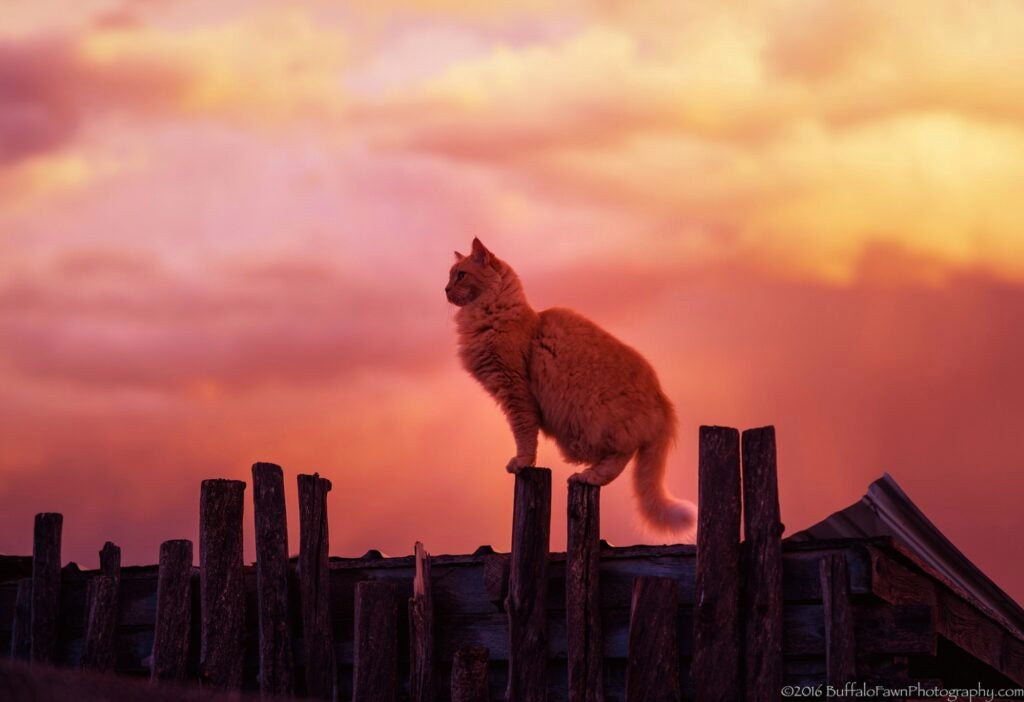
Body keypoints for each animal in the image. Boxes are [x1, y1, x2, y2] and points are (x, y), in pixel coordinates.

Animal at [442, 239, 696, 536]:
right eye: (450, 276)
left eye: (461, 275)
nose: (445, 289)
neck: (494, 313)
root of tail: (662, 400)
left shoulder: (516, 390)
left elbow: (524, 434)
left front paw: (522, 462)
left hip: (599, 419)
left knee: (622, 455)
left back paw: (590, 476)